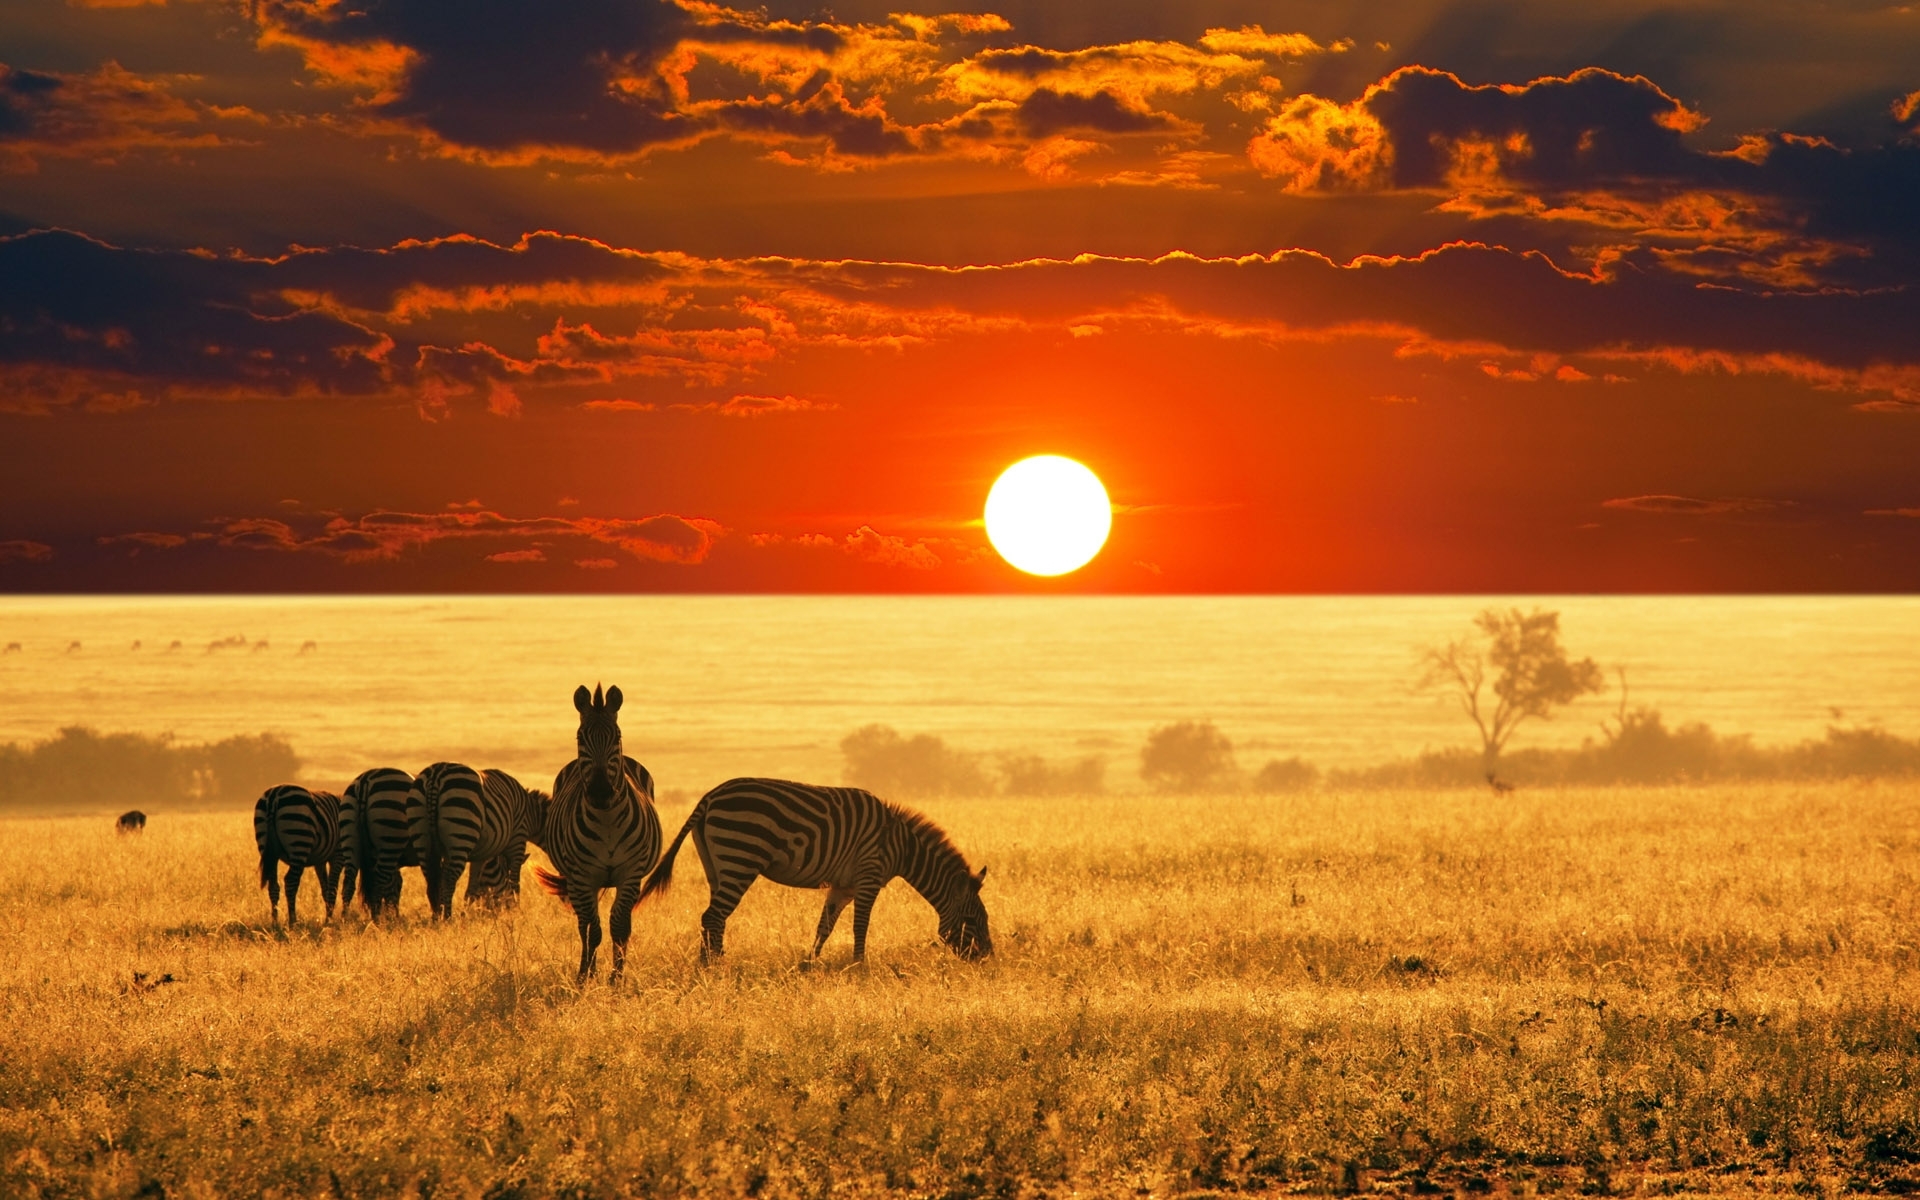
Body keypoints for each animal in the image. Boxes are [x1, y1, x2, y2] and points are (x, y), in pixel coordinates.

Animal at [253, 784, 344, 926]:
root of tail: (274, 796)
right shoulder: (337, 855)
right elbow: (333, 889)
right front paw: (329, 920)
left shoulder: (320, 861)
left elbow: (325, 888)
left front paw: (328, 918)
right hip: (299, 842)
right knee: (290, 882)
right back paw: (293, 921)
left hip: (267, 848)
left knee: (273, 886)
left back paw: (275, 922)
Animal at [341, 767, 423, 918]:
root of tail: (366, 778)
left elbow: (395, 886)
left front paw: (394, 916)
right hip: (391, 835)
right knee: (378, 883)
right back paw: (377, 920)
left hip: (350, 835)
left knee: (349, 882)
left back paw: (344, 919)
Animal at [535, 684, 661, 983]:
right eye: (580, 737)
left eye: (617, 736)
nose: (601, 791)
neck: (607, 821)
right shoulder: (582, 876)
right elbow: (593, 929)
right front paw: (587, 976)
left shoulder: (630, 874)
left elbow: (620, 926)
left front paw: (616, 978)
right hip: (577, 880)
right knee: (584, 924)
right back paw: (585, 970)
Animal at [637, 777, 992, 964]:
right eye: (972, 919)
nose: (988, 958)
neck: (901, 845)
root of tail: (710, 796)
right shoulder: (868, 876)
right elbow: (860, 927)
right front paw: (859, 967)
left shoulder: (843, 886)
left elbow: (825, 926)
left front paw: (810, 964)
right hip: (740, 857)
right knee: (713, 916)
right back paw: (715, 966)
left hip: (716, 865)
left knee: (712, 916)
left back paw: (708, 964)